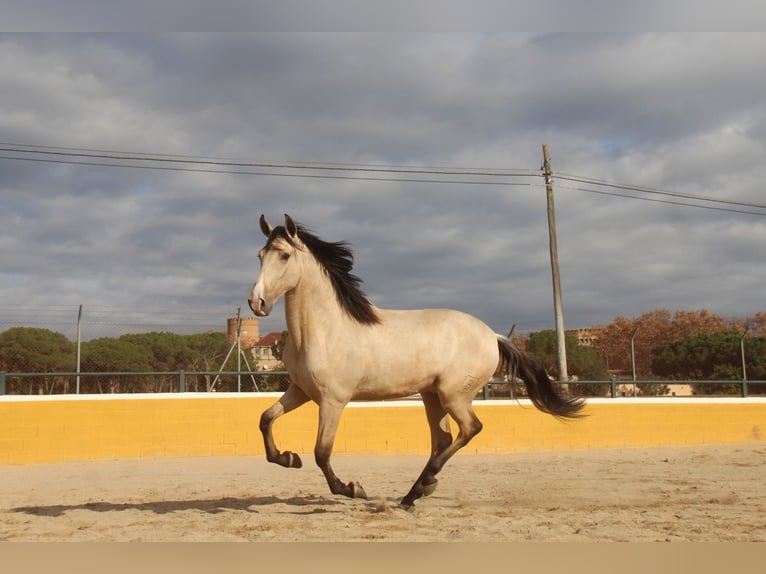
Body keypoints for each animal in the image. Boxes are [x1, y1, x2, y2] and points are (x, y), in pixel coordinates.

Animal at [249, 215, 584, 508]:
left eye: (284, 256)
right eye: (260, 255)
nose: (257, 303)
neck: (324, 329)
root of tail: (493, 336)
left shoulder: (333, 400)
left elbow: (322, 452)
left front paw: (353, 488)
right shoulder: (301, 391)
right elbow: (265, 419)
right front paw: (289, 458)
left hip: (453, 395)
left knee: (470, 429)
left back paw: (423, 485)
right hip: (431, 395)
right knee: (444, 439)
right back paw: (414, 494)